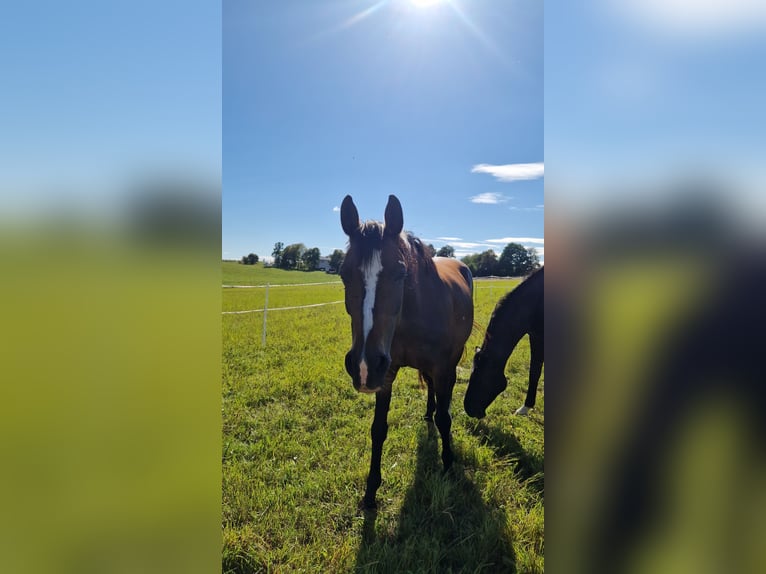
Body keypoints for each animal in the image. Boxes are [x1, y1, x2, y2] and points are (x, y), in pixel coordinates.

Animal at [340, 194, 474, 509]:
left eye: (400, 272)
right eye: (342, 273)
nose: (363, 365)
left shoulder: (443, 368)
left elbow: (445, 419)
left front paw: (448, 466)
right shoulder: (385, 373)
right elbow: (378, 429)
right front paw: (370, 493)